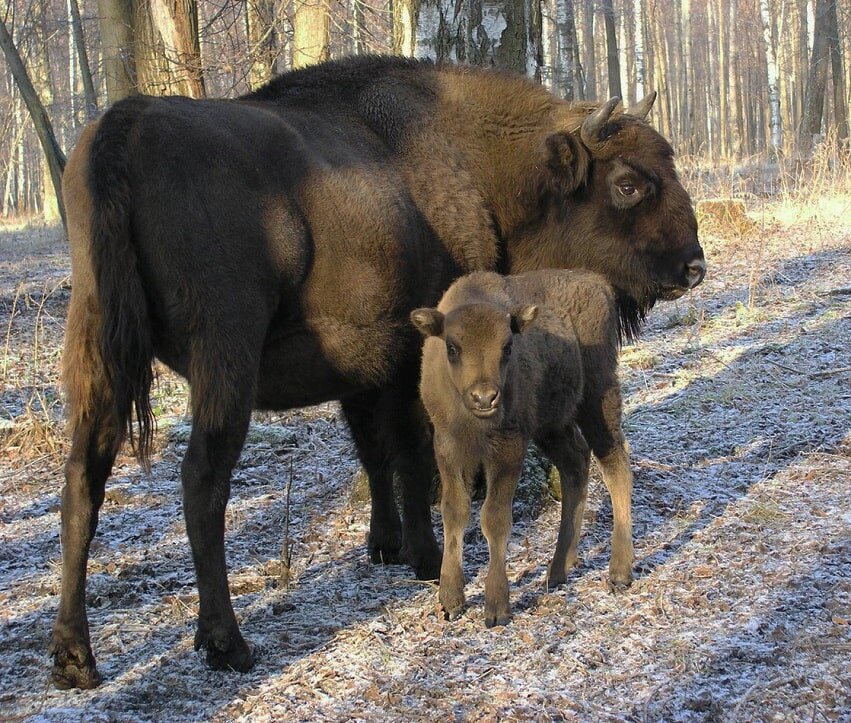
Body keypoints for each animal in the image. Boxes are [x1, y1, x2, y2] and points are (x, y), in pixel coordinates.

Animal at [412, 272, 632, 628]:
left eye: (507, 346)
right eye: (452, 347)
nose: (485, 397)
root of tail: (597, 283)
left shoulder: (509, 448)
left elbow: (494, 517)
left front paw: (497, 607)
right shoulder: (448, 448)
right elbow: (454, 512)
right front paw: (450, 601)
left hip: (598, 397)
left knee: (615, 463)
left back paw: (620, 572)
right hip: (552, 426)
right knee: (575, 463)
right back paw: (558, 570)